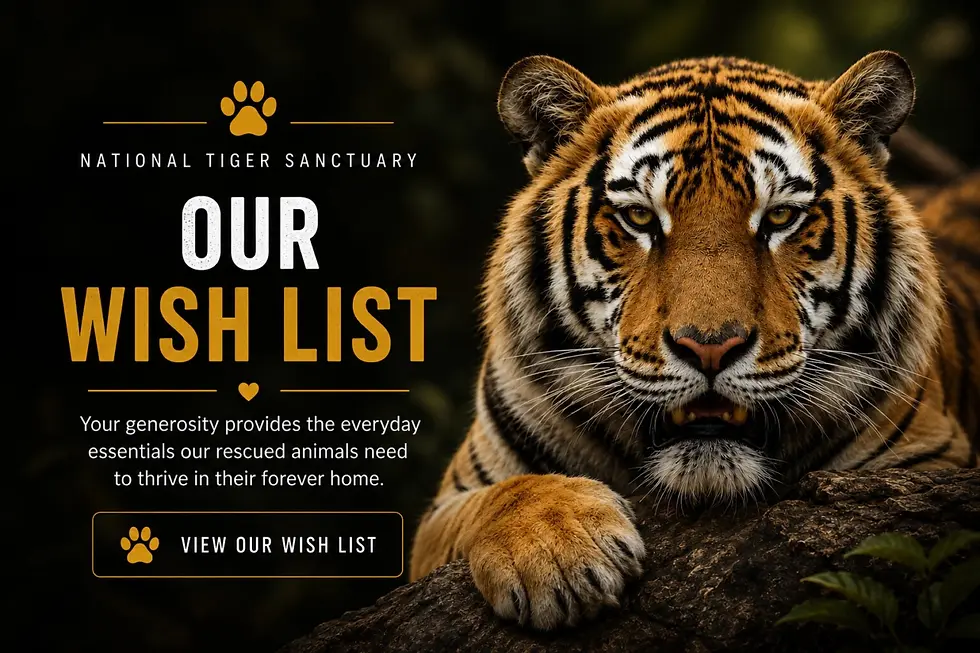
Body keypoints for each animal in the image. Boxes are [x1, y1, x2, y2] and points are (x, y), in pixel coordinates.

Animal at [410, 51, 980, 631]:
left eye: (780, 216)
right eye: (639, 216)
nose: (710, 347)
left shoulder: (929, 455)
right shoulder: (444, 510)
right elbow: (505, 495)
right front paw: (557, 555)